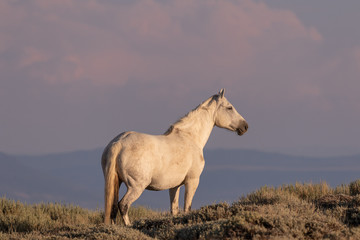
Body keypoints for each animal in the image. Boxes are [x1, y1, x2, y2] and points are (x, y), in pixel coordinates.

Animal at [101, 88, 248, 225]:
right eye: (229, 107)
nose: (245, 126)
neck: (190, 137)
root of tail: (118, 143)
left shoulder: (174, 186)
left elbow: (174, 209)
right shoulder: (192, 181)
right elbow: (187, 208)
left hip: (117, 182)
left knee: (113, 208)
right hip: (136, 186)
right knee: (123, 205)